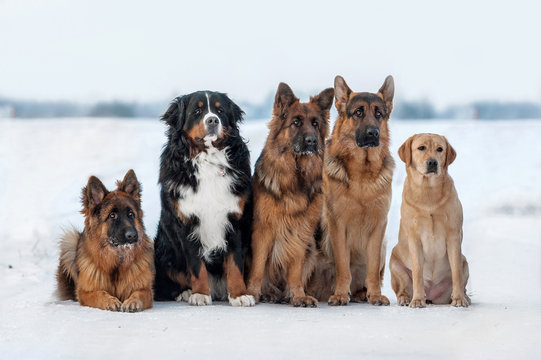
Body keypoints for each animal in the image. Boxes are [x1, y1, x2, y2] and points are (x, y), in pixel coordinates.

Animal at [56, 170, 153, 310]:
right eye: (112, 215)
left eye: (131, 214)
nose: (133, 235)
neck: (116, 262)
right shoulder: (85, 292)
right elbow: (99, 294)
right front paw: (109, 301)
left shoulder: (146, 290)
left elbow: (138, 294)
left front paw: (132, 302)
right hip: (69, 241)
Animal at [152, 90, 253, 306]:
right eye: (197, 111)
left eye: (220, 110)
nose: (213, 120)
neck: (208, 160)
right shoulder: (187, 221)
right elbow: (196, 264)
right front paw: (200, 294)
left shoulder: (236, 220)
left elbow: (235, 263)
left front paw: (239, 294)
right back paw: (186, 292)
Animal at [246, 82, 334, 306]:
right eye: (295, 122)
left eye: (315, 124)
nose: (312, 141)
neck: (296, 178)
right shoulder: (263, 230)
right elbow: (257, 268)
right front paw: (251, 293)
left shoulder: (301, 232)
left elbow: (295, 271)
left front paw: (298, 295)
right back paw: (268, 294)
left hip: (312, 250)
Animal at [310, 74, 394, 306]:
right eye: (358, 113)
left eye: (379, 114)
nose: (373, 133)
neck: (362, 174)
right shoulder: (338, 225)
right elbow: (342, 266)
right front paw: (340, 294)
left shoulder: (379, 227)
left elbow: (372, 270)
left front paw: (375, 295)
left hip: (384, 246)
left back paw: (363, 294)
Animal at [388, 134, 468, 308]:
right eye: (421, 148)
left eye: (440, 149)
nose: (432, 162)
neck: (428, 192)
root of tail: (431, 293)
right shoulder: (414, 238)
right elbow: (417, 272)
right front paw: (418, 300)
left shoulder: (453, 236)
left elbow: (456, 272)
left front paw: (459, 298)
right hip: (395, 264)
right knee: (402, 288)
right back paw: (405, 298)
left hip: (465, 262)